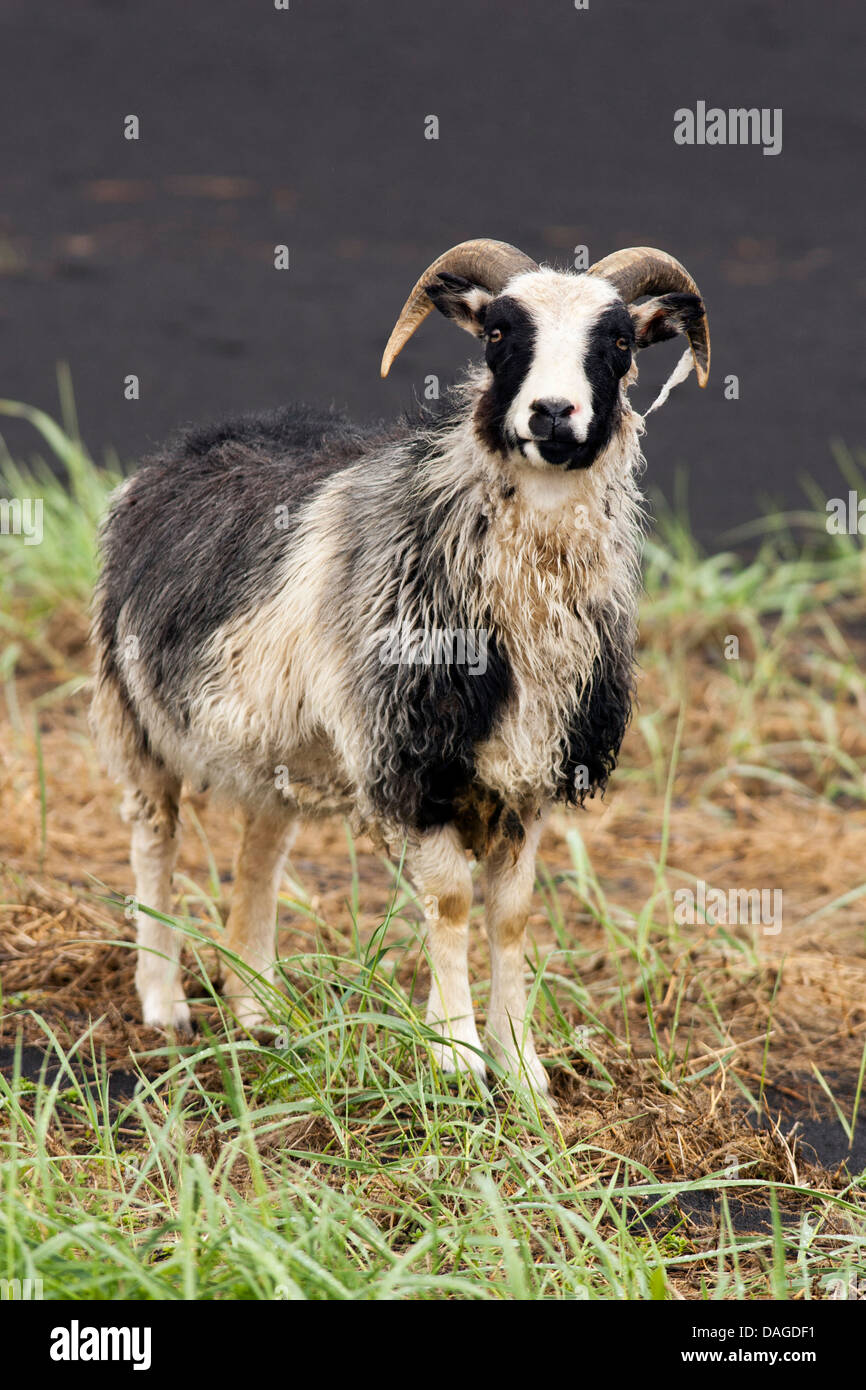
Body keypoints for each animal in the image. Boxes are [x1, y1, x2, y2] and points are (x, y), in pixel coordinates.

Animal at [89, 241, 711, 1095]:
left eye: (618, 341)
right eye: (497, 333)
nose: (553, 413)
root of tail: (181, 450)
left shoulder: (529, 776)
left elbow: (512, 915)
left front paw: (523, 1070)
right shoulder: (413, 763)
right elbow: (449, 903)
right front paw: (456, 1058)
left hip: (278, 746)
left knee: (260, 853)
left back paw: (260, 1009)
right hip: (137, 717)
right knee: (155, 841)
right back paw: (165, 1003)